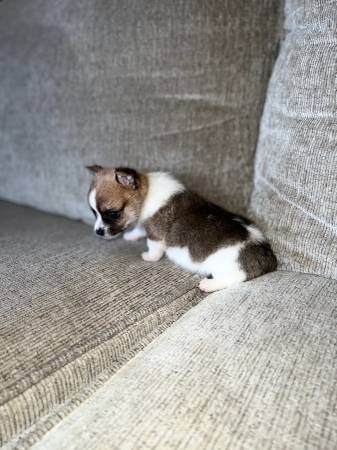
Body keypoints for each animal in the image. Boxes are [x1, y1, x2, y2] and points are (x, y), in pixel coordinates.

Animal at [86, 165, 276, 292]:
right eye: (93, 212)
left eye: (113, 213)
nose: (97, 232)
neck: (147, 193)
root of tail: (266, 253)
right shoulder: (144, 223)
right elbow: (139, 229)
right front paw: (131, 235)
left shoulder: (155, 235)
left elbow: (153, 249)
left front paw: (149, 257)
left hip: (227, 266)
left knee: (233, 279)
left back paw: (208, 284)